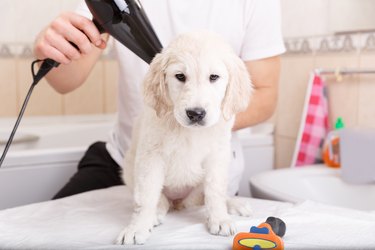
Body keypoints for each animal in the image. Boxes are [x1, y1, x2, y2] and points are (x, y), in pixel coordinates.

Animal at [117, 30, 253, 244]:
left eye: (214, 77)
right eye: (180, 76)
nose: (196, 113)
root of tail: (179, 203)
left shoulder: (217, 156)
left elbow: (215, 191)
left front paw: (220, 219)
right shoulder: (151, 156)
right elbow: (146, 196)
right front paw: (137, 227)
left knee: (210, 195)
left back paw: (234, 204)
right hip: (130, 172)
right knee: (158, 199)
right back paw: (156, 213)